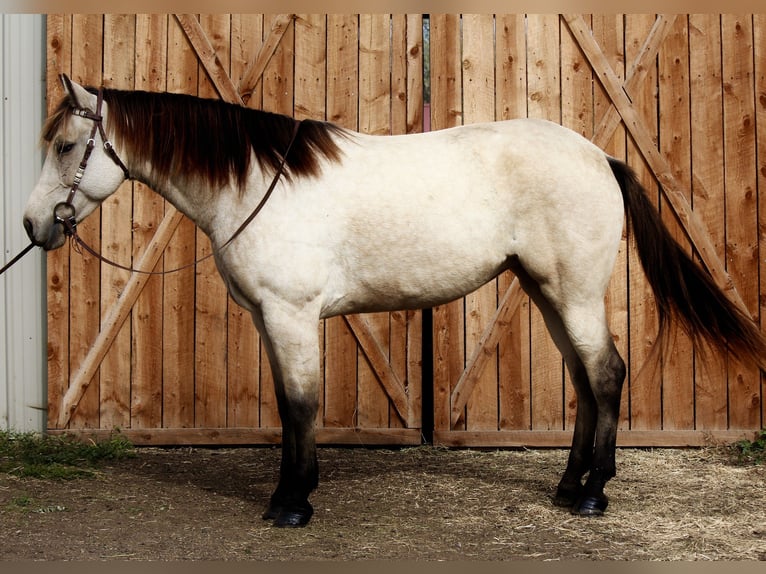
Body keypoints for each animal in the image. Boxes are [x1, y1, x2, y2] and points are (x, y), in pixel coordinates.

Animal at [24, 75, 766, 528]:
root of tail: (599, 157)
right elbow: (289, 407)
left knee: (606, 374)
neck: (257, 185)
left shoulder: (291, 316)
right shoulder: (271, 320)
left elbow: (300, 406)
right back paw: (566, 486)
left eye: (66, 145)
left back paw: (592, 493)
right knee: (586, 381)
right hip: (545, 291)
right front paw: (293, 493)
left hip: (574, 291)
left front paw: (292, 503)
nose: (33, 226)